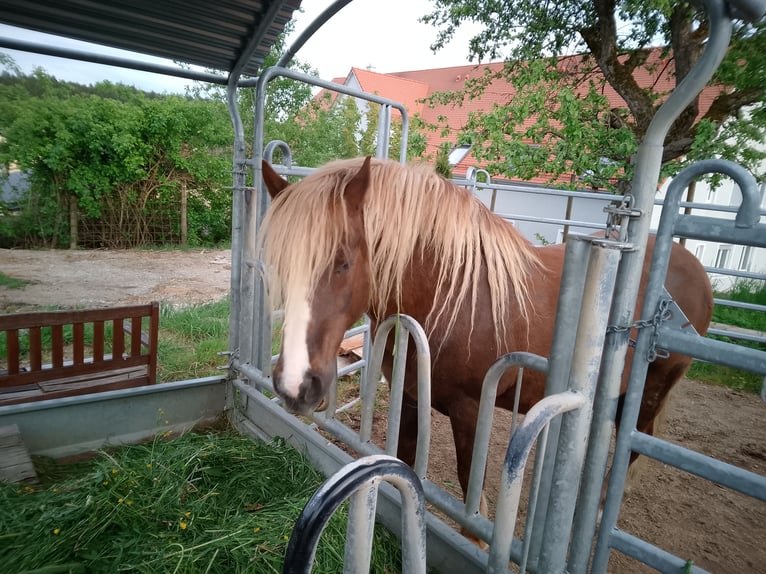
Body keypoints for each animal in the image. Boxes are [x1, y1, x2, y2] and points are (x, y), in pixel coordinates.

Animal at [257, 155, 713, 520]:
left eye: (343, 262)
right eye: (277, 261)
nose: (294, 385)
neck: (449, 297)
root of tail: (691, 263)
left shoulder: (472, 410)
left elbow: (469, 493)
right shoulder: (409, 396)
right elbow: (405, 465)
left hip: (650, 389)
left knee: (636, 443)